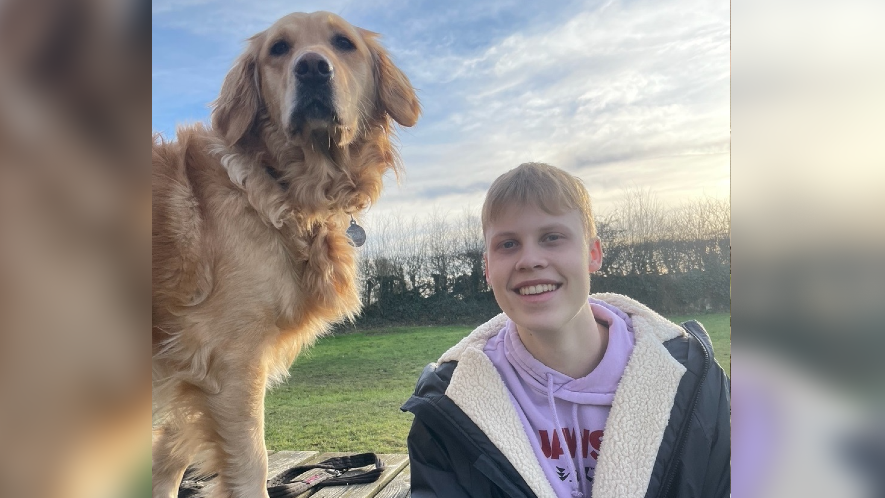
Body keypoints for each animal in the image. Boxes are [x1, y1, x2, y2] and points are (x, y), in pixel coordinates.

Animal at [151, 12, 418, 498]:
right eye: (278, 48)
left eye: (343, 43)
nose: (312, 67)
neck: (282, 185)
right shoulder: (231, 363)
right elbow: (251, 465)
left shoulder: (192, 363)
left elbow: (170, 456)